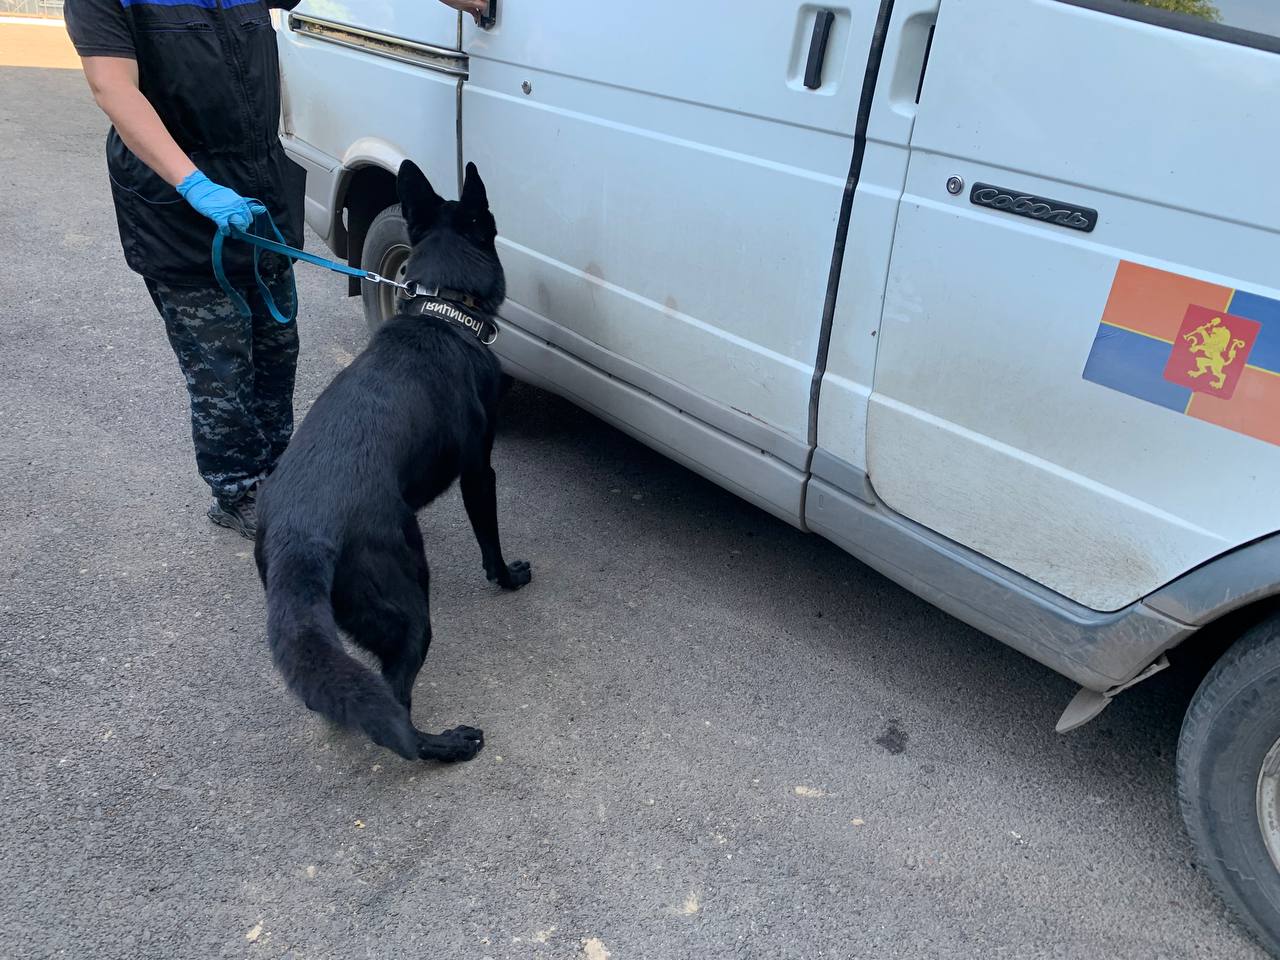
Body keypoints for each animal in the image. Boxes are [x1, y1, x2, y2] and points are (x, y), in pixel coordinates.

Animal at [254, 160, 530, 762]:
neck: (443, 313)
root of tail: (299, 536)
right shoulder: (480, 471)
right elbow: (490, 538)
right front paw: (506, 576)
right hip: (409, 608)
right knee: (396, 712)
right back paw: (445, 744)